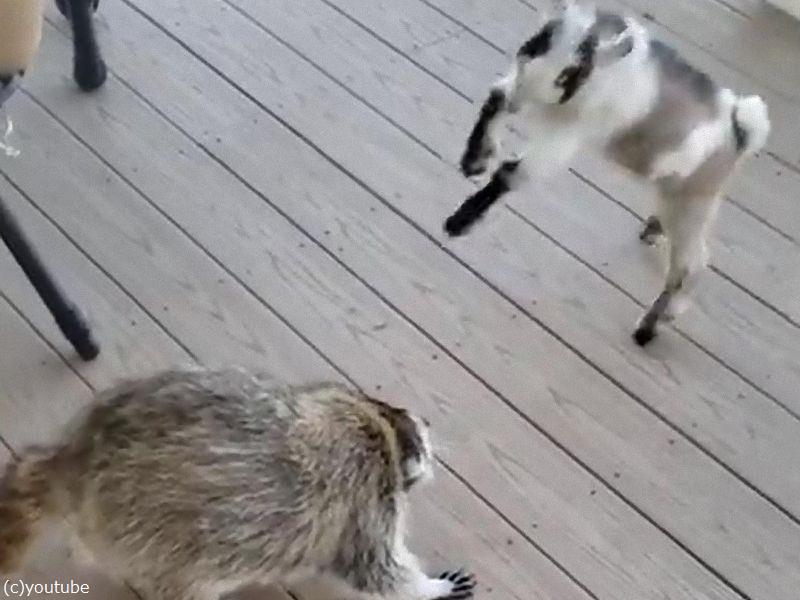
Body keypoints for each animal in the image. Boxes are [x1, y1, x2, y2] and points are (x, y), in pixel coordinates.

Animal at [0, 367, 476, 600]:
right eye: (423, 440)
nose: (426, 423)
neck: (379, 421)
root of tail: (75, 461)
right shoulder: (366, 493)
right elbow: (377, 570)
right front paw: (432, 587)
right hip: (157, 548)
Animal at [445, 1, 770, 346]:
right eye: (540, 42)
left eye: (572, 73)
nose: (532, 85)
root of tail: (740, 129)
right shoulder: (520, 89)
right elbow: (495, 101)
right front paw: (474, 159)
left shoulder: (565, 136)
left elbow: (511, 172)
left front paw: (458, 223)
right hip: (674, 193)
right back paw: (652, 233)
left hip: (691, 204)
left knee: (692, 266)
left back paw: (649, 327)